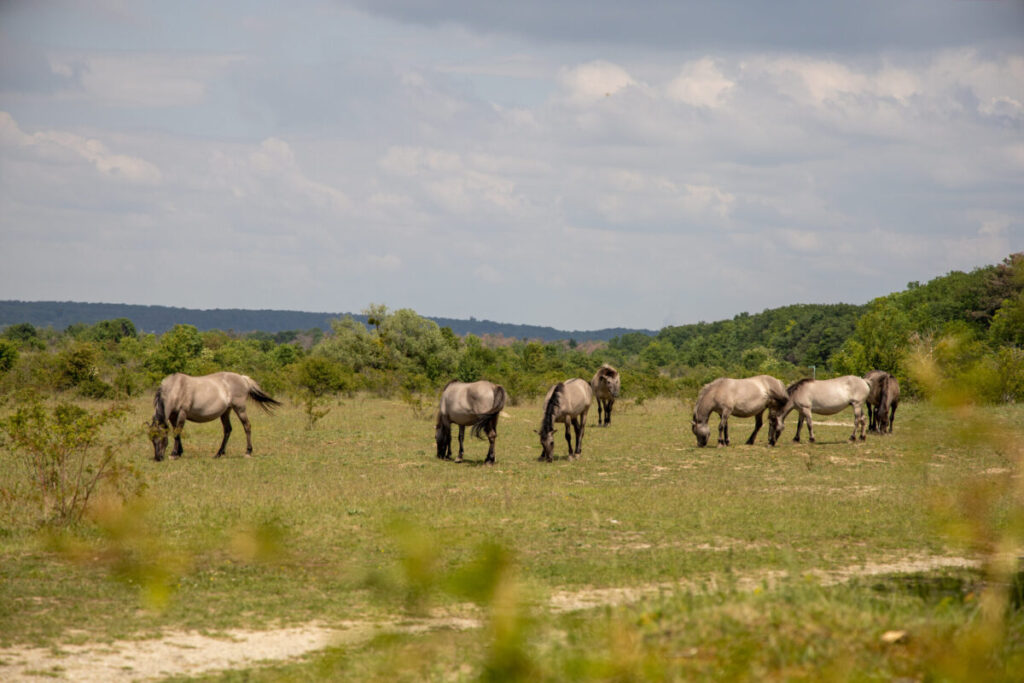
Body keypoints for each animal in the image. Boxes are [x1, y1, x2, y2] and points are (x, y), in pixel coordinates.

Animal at [148, 370, 280, 462]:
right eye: (152, 440)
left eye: (161, 437)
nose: (158, 458)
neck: (176, 388)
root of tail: (243, 378)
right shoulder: (173, 416)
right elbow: (177, 433)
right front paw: (179, 452)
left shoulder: (182, 413)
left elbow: (177, 432)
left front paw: (174, 454)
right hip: (226, 412)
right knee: (227, 430)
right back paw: (218, 453)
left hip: (240, 409)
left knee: (247, 426)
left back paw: (248, 452)